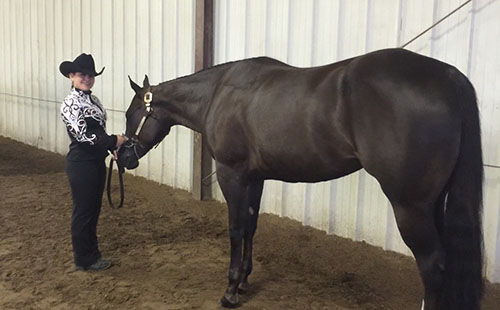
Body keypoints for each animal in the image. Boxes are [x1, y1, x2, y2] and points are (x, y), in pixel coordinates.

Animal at [117, 49, 484, 310]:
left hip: (410, 205)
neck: (219, 93)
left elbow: (236, 228)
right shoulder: (254, 178)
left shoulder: (231, 174)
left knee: (433, 265)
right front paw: (245, 281)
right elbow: (250, 226)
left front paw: (230, 290)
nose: (123, 157)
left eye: (132, 114)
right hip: (432, 204)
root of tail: (449, 76)